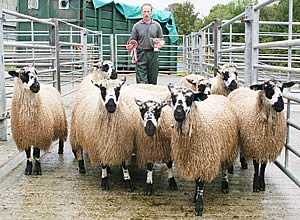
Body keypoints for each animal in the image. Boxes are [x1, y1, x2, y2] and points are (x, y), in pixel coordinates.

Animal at [166, 84, 239, 217]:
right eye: (173, 97)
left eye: (190, 98)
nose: (178, 113)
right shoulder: (196, 159)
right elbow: (197, 179)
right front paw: (195, 196)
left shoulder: (203, 157)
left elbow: (200, 183)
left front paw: (199, 206)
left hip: (228, 148)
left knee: (224, 167)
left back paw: (225, 185)